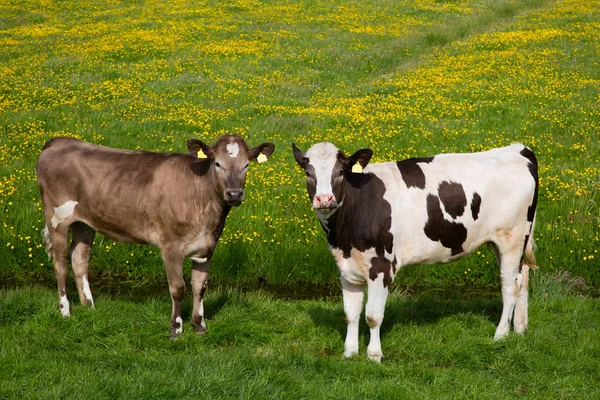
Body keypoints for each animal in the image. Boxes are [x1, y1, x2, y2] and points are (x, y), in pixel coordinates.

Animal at [35, 134, 274, 338]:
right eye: (218, 164)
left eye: (246, 165)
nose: (234, 194)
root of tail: (60, 141)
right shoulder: (171, 246)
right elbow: (178, 288)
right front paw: (176, 328)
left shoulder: (207, 247)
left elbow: (200, 287)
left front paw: (199, 326)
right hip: (57, 219)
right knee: (60, 264)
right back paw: (65, 311)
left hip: (85, 223)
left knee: (79, 259)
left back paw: (89, 307)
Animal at [294, 141, 540, 362]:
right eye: (308, 172)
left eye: (340, 172)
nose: (324, 199)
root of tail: (518, 149)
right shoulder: (346, 268)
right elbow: (350, 314)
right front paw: (349, 353)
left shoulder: (382, 266)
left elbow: (373, 315)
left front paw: (374, 355)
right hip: (511, 242)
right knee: (523, 278)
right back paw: (520, 329)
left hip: (511, 238)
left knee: (510, 285)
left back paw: (501, 334)